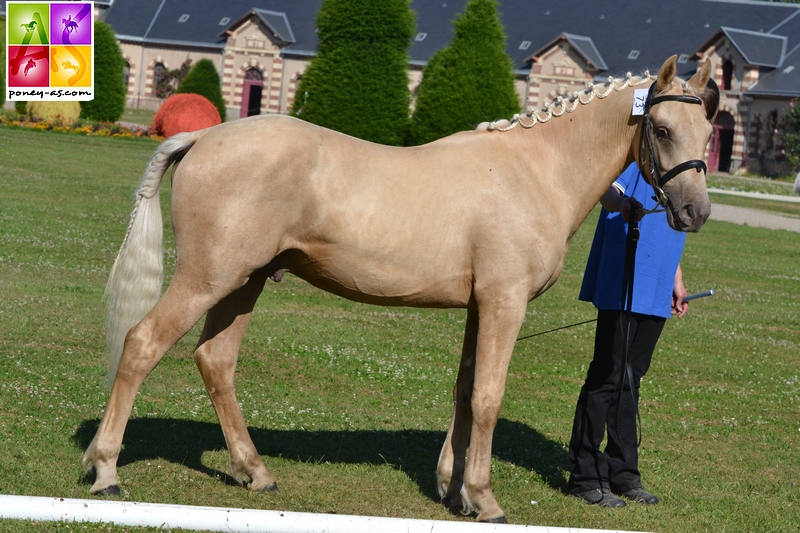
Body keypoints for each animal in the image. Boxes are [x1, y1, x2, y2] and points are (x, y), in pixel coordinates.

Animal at [84, 56, 716, 520]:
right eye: (662, 130)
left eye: (708, 132)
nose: (696, 212)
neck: (534, 169)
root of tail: (202, 136)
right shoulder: (504, 303)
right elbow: (488, 397)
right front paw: (483, 498)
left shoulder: (479, 305)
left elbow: (465, 390)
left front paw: (451, 488)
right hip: (209, 278)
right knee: (142, 344)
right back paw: (107, 470)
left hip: (244, 283)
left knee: (215, 360)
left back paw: (255, 472)